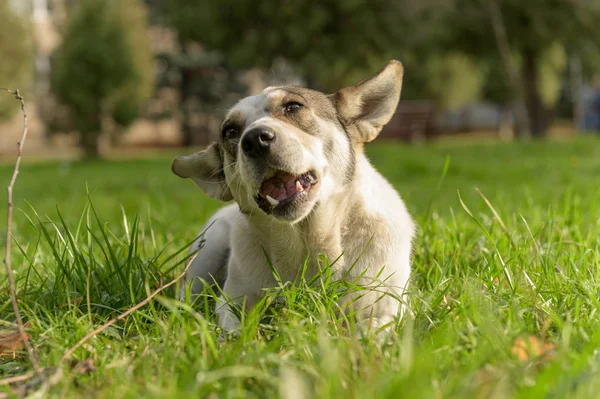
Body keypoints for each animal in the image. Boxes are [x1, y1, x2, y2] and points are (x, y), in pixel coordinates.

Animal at [172, 60, 412, 334]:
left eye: (293, 107)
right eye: (230, 131)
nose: (255, 140)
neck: (307, 242)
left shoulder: (387, 306)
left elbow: (374, 329)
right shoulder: (231, 300)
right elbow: (232, 327)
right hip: (207, 249)